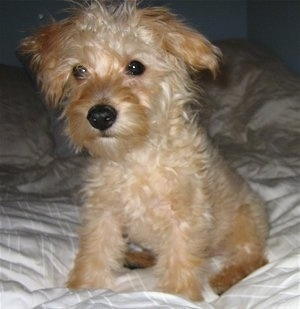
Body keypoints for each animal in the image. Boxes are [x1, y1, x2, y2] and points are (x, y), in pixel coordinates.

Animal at [18, 0, 268, 298]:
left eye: (135, 67)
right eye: (79, 71)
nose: (99, 116)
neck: (136, 157)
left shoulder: (185, 220)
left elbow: (180, 264)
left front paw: (176, 296)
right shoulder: (103, 213)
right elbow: (94, 253)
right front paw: (83, 289)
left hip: (245, 224)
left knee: (254, 257)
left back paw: (226, 278)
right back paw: (137, 258)